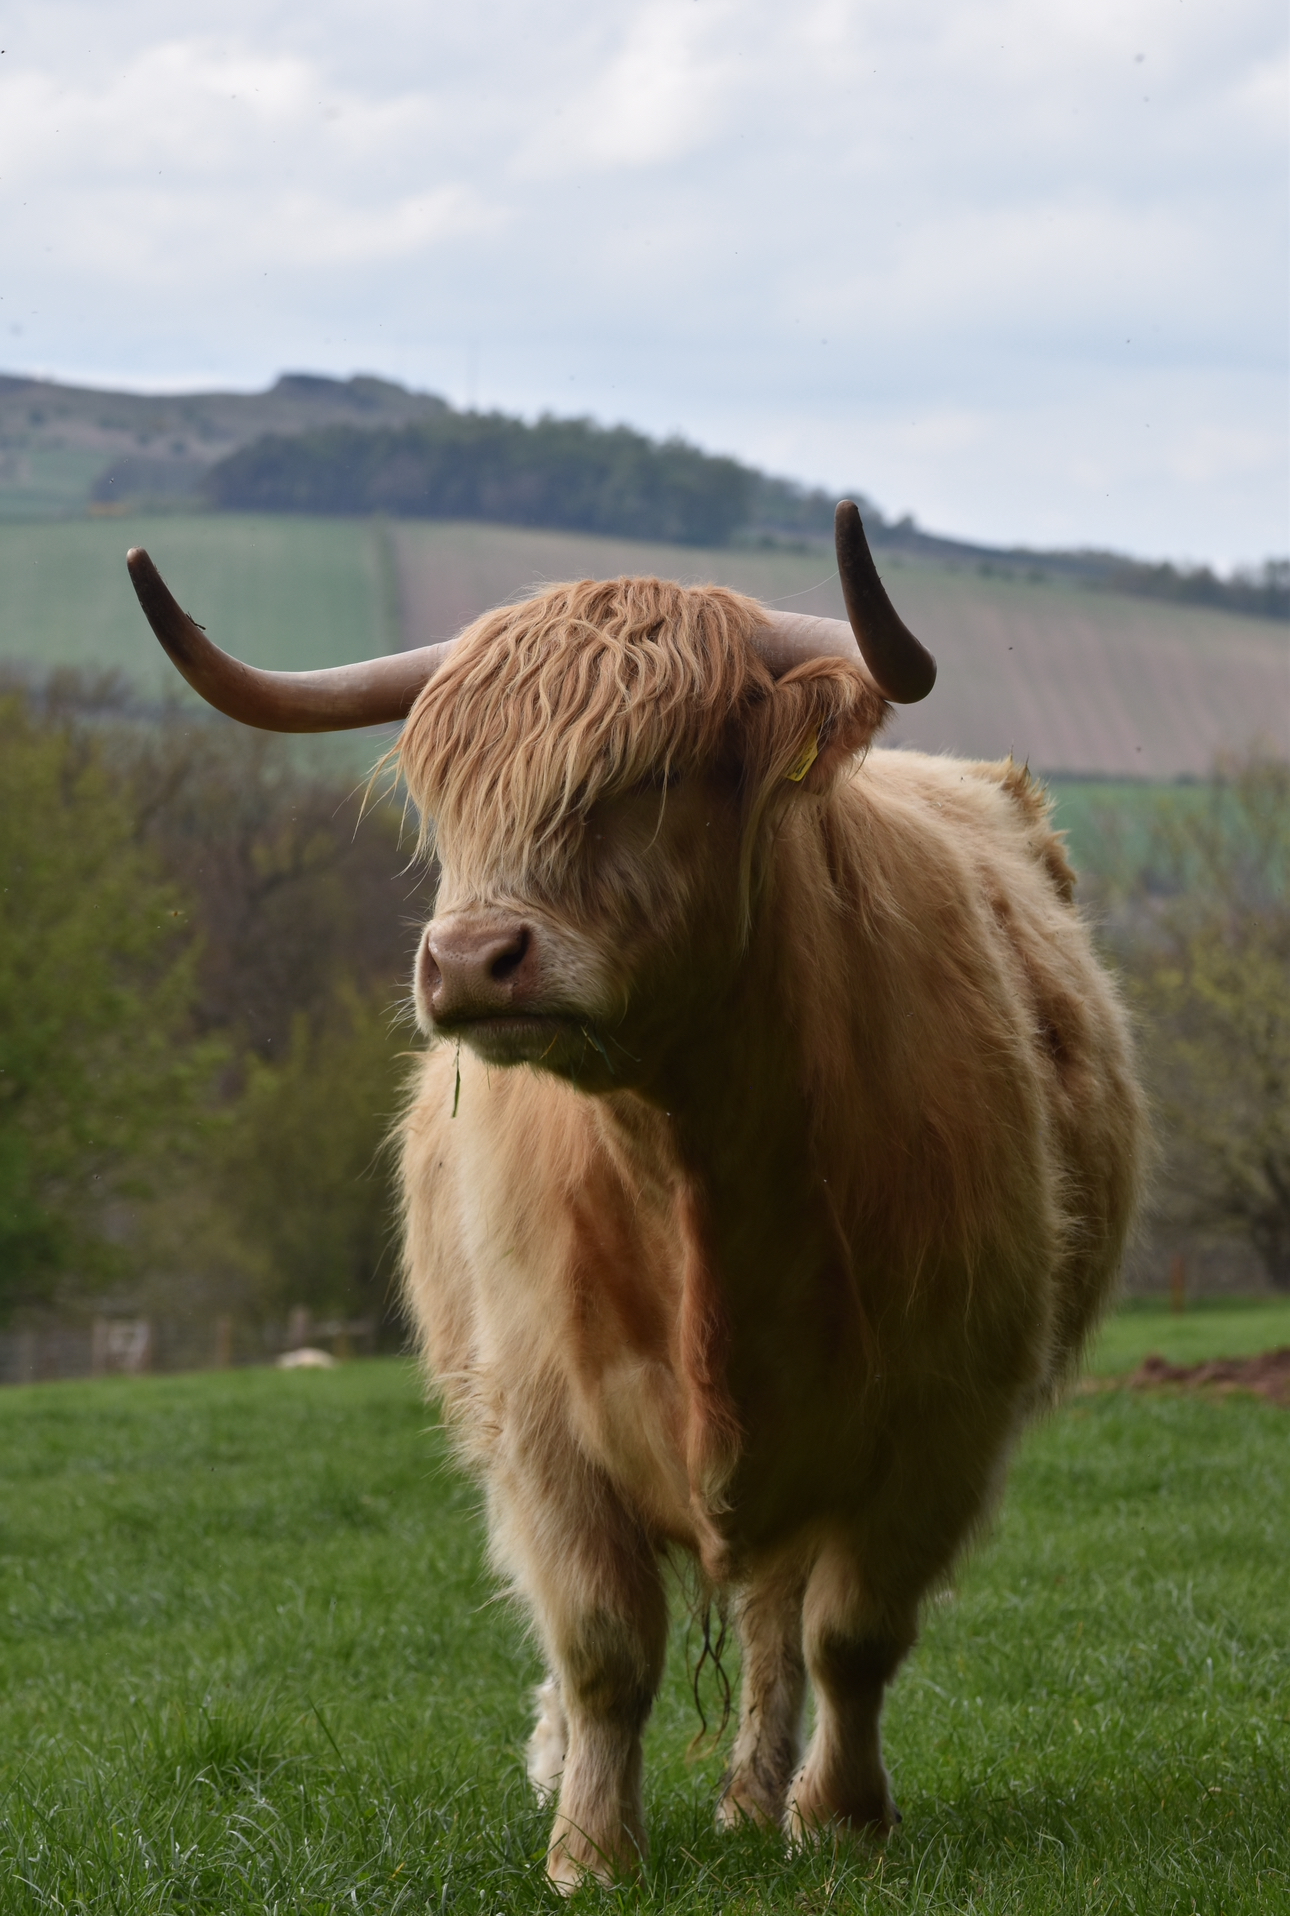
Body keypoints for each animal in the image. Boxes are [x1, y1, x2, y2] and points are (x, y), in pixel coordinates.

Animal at [127, 505, 1146, 1889]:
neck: (699, 1166)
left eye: (653, 776)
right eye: (449, 792)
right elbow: (602, 1641)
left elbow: (852, 1633)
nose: (470, 959)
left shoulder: (943, 1413)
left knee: (776, 1620)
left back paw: (757, 1795)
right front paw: (590, 1847)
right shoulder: (541, 1420)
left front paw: (840, 1818)